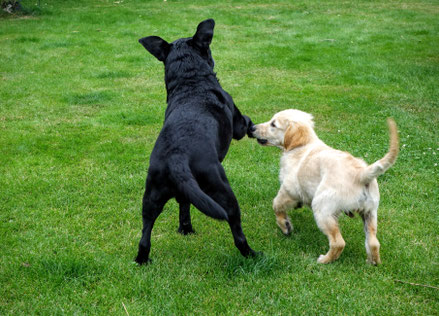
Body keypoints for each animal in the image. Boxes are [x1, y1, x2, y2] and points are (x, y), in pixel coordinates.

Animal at [135, 17, 258, 264]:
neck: (191, 81)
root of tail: (177, 156)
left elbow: (183, 206)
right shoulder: (237, 123)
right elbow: (245, 122)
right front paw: (253, 127)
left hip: (152, 195)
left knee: (146, 233)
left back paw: (145, 258)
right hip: (221, 189)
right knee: (237, 230)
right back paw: (252, 254)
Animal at [251, 109, 398, 264]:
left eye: (273, 124)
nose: (252, 127)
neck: (301, 145)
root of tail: (361, 173)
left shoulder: (289, 189)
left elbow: (276, 204)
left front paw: (285, 225)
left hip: (322, 208)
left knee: (338, 242)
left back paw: (324, 260)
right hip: (370, 212)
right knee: (373, 242)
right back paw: (372, 262)